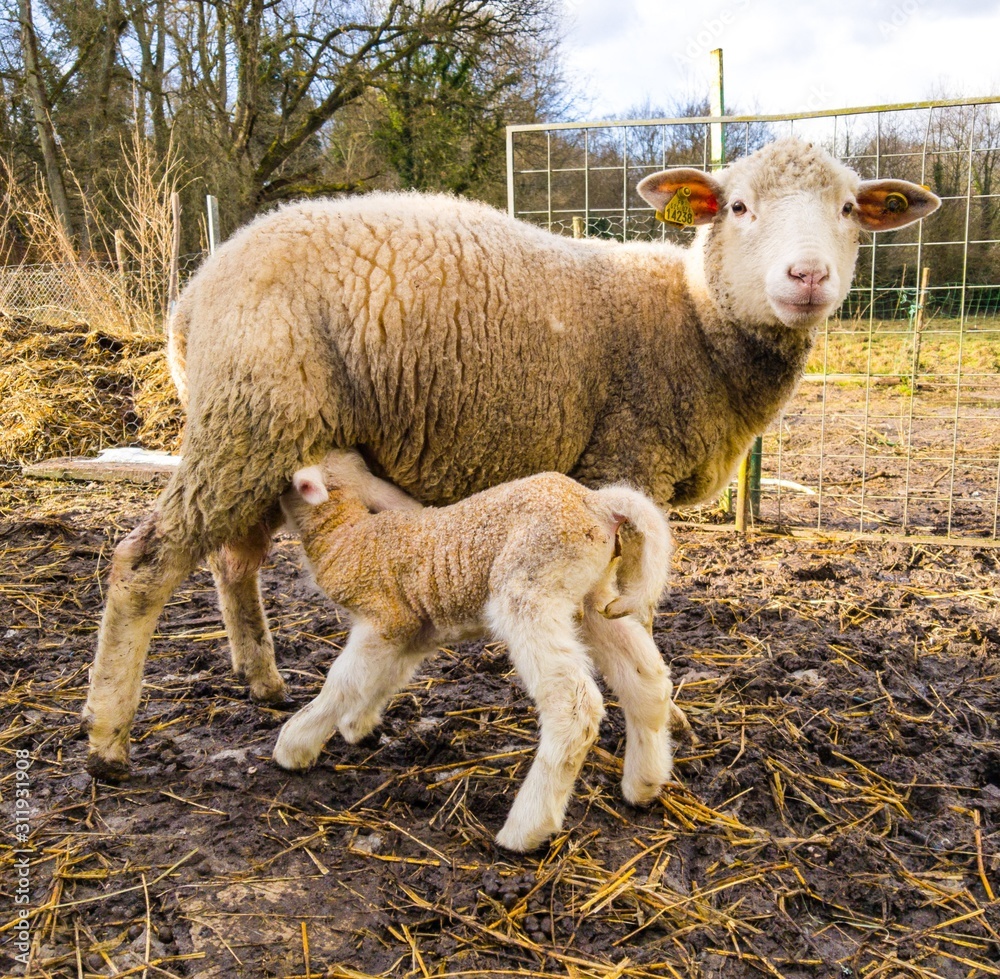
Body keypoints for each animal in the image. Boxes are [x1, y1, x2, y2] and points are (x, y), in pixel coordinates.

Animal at [82, 136, 940, 779]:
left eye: (847, 210)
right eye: (737, 206)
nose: (808, 277)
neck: (699, 320)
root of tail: (193, 291)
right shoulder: (625, 456)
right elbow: (634, 612)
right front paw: (655, 713)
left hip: (260, 433)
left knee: (232, 561)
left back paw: (260, 679)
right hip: (247, 421)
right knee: (145, 562)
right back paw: (107, 737)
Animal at [274, 450, 675, 852]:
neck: (346, 533)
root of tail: (595, 503)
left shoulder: (384, 621)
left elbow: (341, 681)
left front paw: (294, 745)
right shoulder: (413, 633)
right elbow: (382, 678)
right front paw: (357, 724)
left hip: (530, 588)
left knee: (574, 708)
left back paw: (525, 829)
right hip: (593, 598)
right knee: (646, 680)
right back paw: (644, 785)